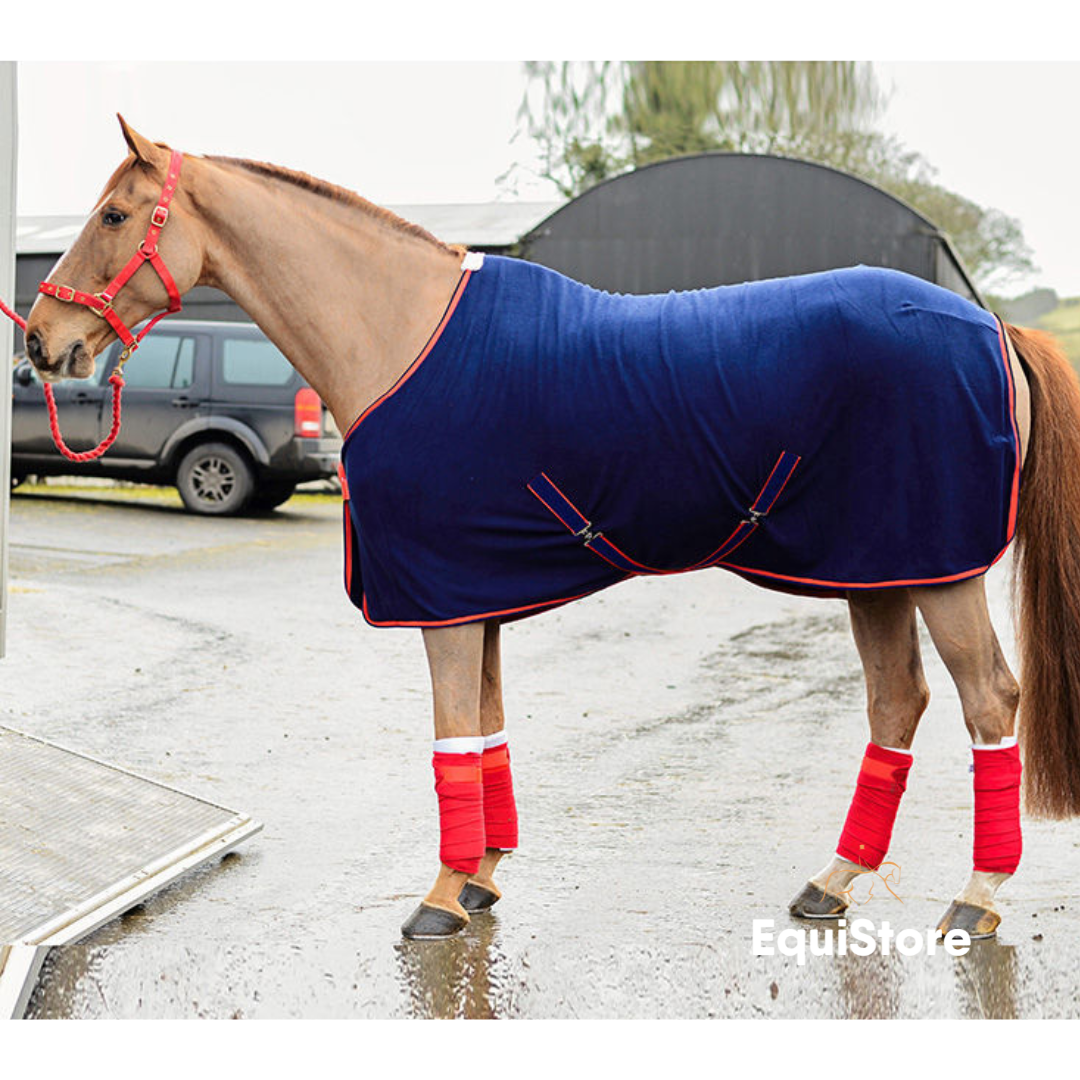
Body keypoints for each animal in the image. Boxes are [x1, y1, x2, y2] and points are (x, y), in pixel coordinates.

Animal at [23, 116, 1080, 942]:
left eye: (114, 215)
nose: (41, 340)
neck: (404, 333)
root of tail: (990, 328)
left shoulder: (443, 605)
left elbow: (452, 742)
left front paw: (441, 897)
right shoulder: (475, 593)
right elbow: (486, 738)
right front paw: (482, 881)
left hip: (939, 572)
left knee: (990, 702)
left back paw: (977, 897)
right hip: (875, 570)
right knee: (897, 705)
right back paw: (833, 882)